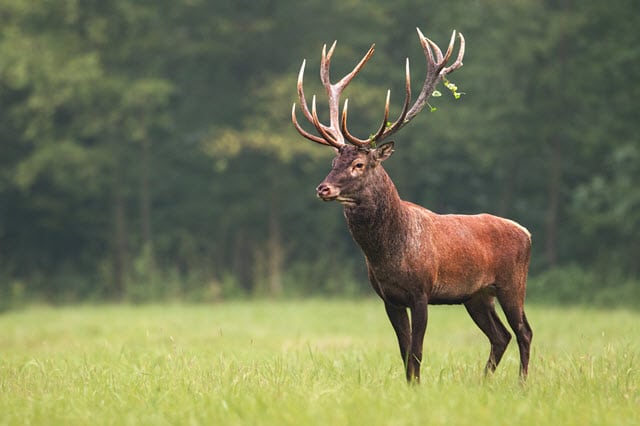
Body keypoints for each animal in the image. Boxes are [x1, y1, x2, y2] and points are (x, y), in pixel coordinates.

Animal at [292, 28, 532, 384]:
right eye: (334, 161)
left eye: (359, 164)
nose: (323, 188)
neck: (388, 253)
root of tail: (527, 233)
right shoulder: (389, 297)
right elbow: (404, 351)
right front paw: (409, 387)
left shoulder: (422, 291)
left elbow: (417, 351)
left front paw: (417, 388)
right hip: (476, 295)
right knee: (500, 336)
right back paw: (484, 382)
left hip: (512, 282)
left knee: (523, 332)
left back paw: (521, 384)